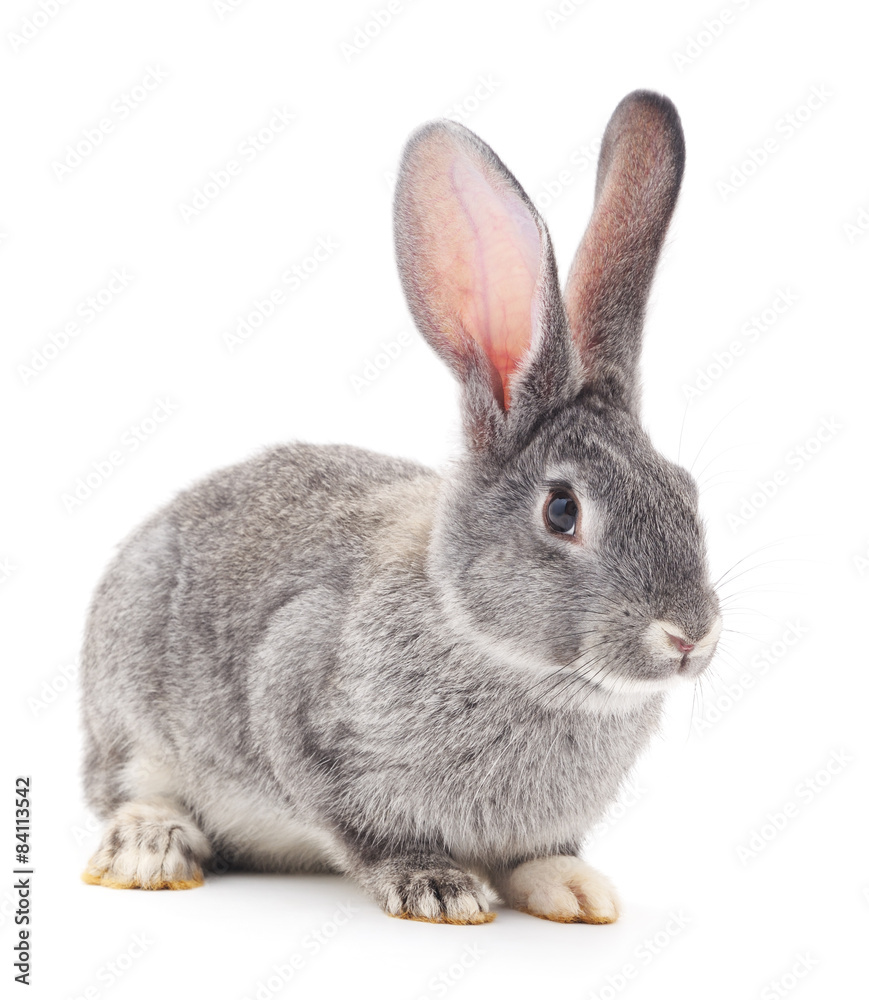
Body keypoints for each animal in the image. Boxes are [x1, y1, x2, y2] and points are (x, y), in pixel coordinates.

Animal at [80, 89, 722, 925]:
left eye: (686, 490)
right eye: (561, 511)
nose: (690, 637)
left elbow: (539, 855)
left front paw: (576, 890)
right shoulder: (297, 698)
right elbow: (368, 833)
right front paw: (440, 888)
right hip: (131, 705)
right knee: (130, 785)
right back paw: (151, 849)